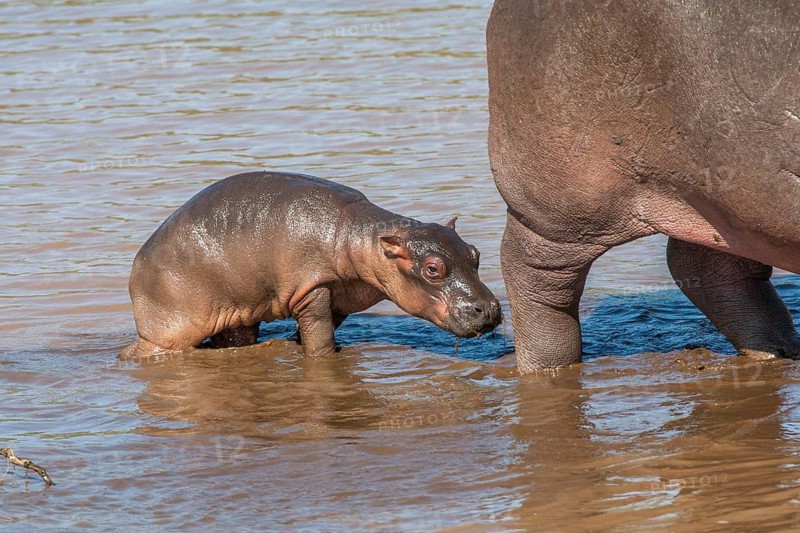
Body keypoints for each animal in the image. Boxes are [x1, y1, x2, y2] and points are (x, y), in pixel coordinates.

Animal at [123, 171, 502, 358]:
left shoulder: (342, 294)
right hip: (169, 330)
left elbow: (322, 328)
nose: (489, 308)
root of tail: (137, 264)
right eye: (433, 268)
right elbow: (318, 336)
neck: (358, 239)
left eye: (475, 253)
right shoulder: (312, 287)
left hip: (238, 311)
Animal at [487, 0, 800, 372]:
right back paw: (548, 368)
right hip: (563, 207)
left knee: (712, 270)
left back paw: (778, 351)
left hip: (719, 200)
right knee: (537, 277)